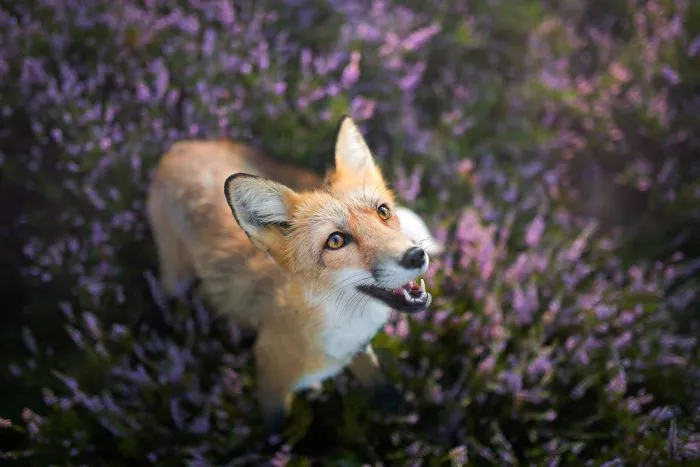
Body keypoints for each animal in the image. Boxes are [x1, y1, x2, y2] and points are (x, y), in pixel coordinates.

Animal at [145, 116, 441, 433]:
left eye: (383, 212)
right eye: (335, 241)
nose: (416, 255)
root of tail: (182, 145)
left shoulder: (361, 351)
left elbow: (377, 381)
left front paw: (397, 407)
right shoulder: (271, 379)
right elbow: (276, 431)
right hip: (175, 276)